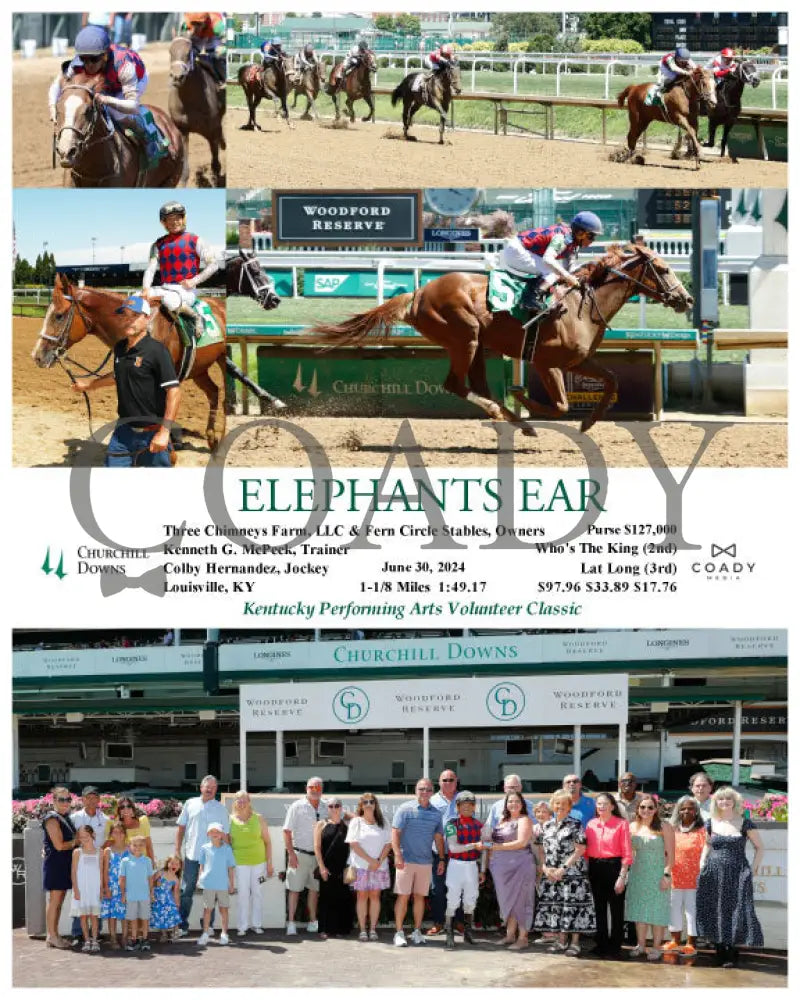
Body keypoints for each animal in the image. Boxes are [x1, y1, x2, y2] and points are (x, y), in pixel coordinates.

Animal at [32, 272, 227, 448]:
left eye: (59, 315)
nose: (37, 356)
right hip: (199, 369)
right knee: (213, 392)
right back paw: (212, 438)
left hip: (223, 360)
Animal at [168, 35, 225, 188]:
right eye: (170, 52)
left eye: (189, 53)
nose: (177, 77)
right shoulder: (182, 130)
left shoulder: (212, 130)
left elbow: (215, 161)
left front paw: (216, 179)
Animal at [310, 245, 696, 434]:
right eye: (664, 269)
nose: (687, 299)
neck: (581, 306)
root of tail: (417, 293)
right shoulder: (545, 362)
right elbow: (560, 405)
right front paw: (523, 396)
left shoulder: (579, 360)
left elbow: (613, 380)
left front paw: (588, 422)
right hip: (464, 338)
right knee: (456, 384)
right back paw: (508, 415)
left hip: (477, 346)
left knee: (477, 384)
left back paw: (514, 420)